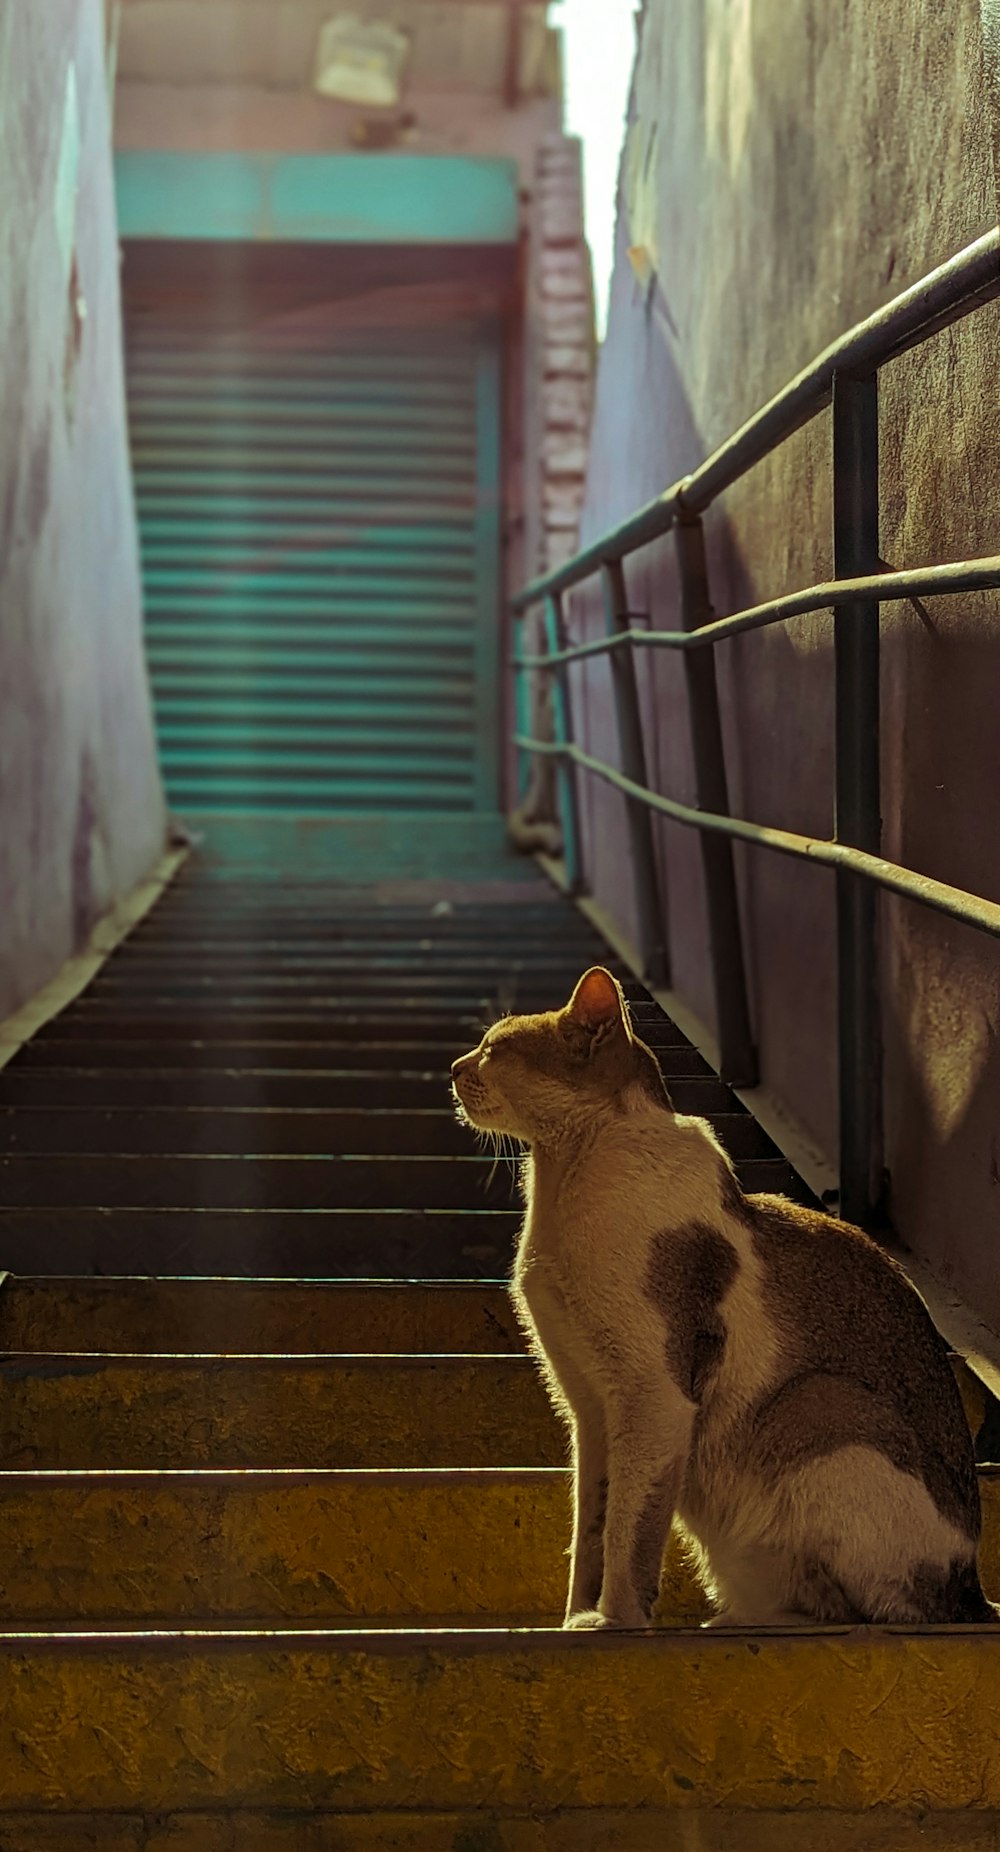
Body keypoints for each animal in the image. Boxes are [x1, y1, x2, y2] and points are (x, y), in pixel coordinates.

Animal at [451, 963, 992, 1629]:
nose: (453, 1068)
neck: (564, 1181)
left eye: (494, 1049)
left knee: (859, 1610)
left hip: (819, 1406)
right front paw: (575, 1618)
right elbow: (591, 1530)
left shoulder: (653, 1397)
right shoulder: (588, 1407)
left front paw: (616, 1622)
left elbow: (630, 1530)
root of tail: (972, 1590)